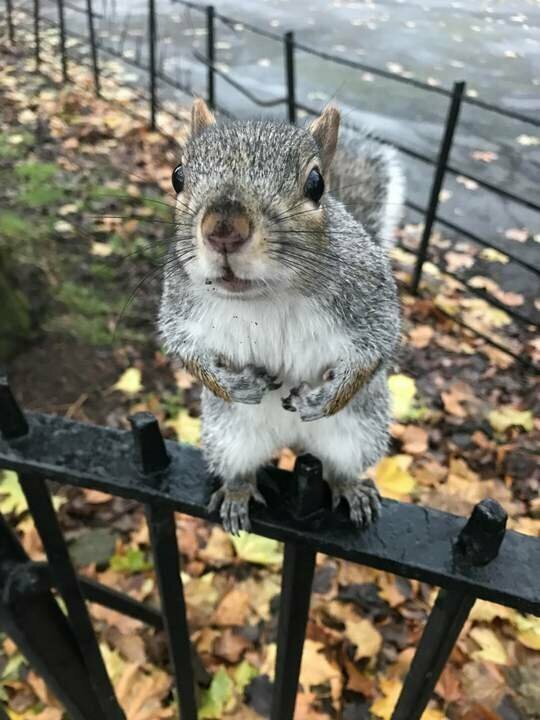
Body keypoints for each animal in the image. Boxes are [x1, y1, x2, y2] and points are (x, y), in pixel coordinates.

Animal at [158, 98, 402, 532]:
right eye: (177, 176)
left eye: (316, 184)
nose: (224, 229)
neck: (266, 297)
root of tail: (292, 442)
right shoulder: (179, 305)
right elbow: (184, 349)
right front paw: (234, 384)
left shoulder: (370, 300)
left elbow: (376, 347)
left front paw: (325, 397)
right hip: (227, 436)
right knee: (239, 467)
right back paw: (237, 493)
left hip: (360, 432)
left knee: (340, 466)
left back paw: (350, 487)